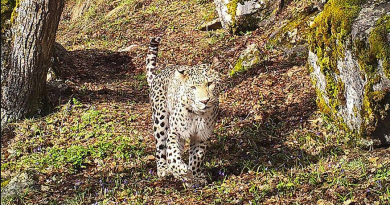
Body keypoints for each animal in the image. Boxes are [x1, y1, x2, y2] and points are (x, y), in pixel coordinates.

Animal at [145, 37, 221, 186]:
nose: (204, 101)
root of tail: (157, 75)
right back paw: (164, 169)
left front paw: (194, 176)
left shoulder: (201, 136)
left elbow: (197, 157)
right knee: (161, 147)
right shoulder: (175, 132)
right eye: (193, 88)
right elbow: (172, 154)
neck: (198, 115)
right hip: (160, 120)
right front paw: (181, 170)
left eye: (210, 83)